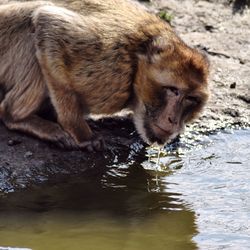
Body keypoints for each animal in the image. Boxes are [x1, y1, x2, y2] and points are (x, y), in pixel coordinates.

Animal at [0, 0, 209, 150]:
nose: (173, 119)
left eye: (191, 98)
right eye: (173, 90)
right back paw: (15, 115)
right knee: (33, 22)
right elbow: (48, 23)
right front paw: (80, 132)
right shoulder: (109, 65)